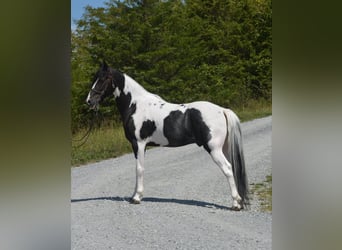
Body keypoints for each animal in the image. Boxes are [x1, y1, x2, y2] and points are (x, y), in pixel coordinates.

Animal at [85, 61, 248, 210]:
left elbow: (139, 169)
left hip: (214, 149)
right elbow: (138, 168)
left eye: (103, 79)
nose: (89, 101)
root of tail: (222, 110)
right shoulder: (141, 146)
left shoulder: (138, 143)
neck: (135, 105)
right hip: (223, 148)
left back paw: (235, 204)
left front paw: (137, 198)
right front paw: (134, 195)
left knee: (228, 169)